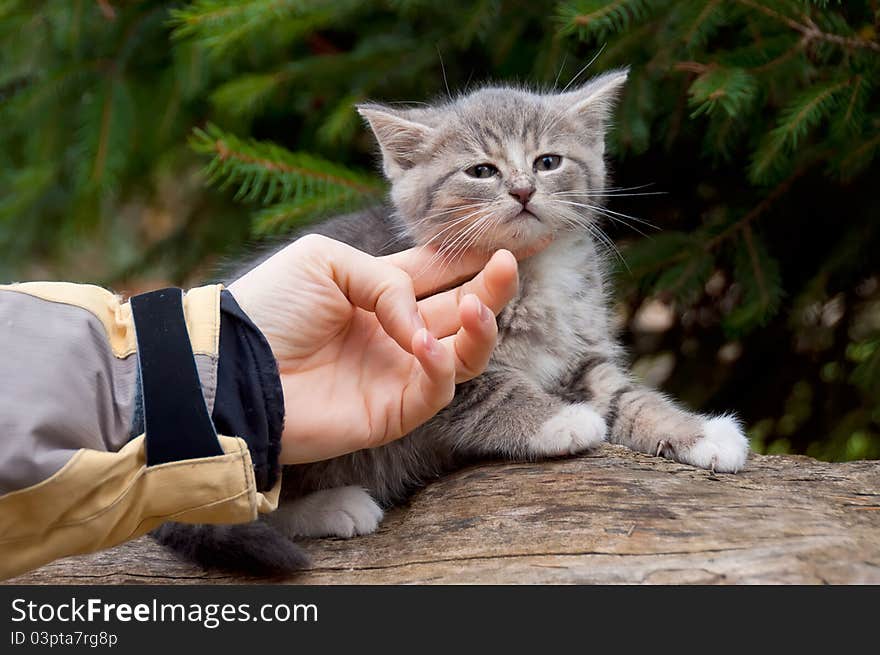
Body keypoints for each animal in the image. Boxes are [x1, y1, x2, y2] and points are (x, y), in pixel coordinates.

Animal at [153, 69, 748, 576]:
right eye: (482, 171)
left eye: (548, 161)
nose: (523, 189)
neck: (530, 277)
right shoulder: (423, 348)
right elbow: (494, 391)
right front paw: (561, 421)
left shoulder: (584, 356)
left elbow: (631, 398)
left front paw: (700, 434)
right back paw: (333, 507)